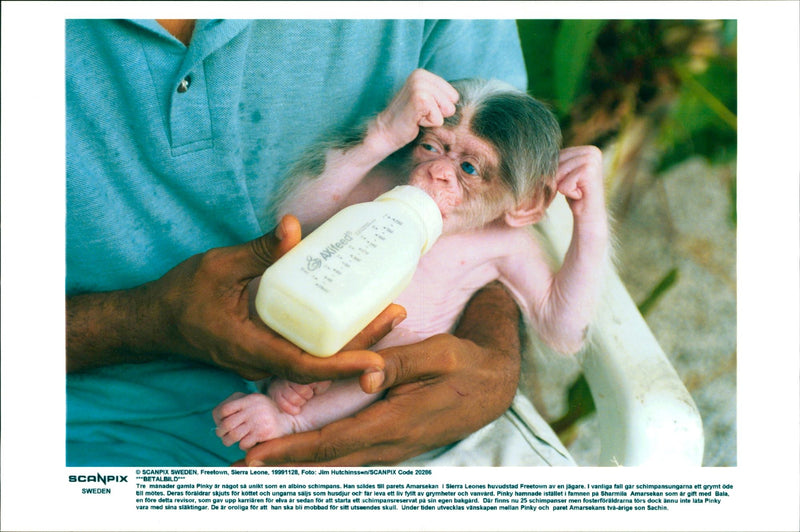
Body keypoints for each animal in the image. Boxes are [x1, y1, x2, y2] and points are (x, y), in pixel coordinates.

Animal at [212, 67, 608, 448]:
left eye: (468, 168)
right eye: (432, 147)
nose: (437, 173)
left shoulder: (517, 248)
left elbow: (558, 320)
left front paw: (587, 182)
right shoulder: (379, 186)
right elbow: (308, 208)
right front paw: (405, 114)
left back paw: (281, 408)